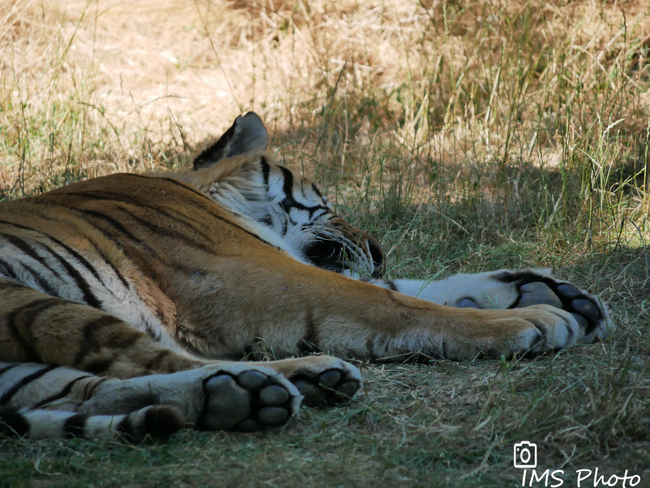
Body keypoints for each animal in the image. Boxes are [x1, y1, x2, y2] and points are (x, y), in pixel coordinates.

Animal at [0, 112, 608, 440]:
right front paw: (537, 317)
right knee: (145, 361)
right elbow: (389, 301)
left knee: (84, 389)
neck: (205, 193)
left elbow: (412, 289)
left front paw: (553, 291)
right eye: (330, 203)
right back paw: (287, 380)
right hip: (32, 301)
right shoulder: (250, 273)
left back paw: (256, 394)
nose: (380, 251)